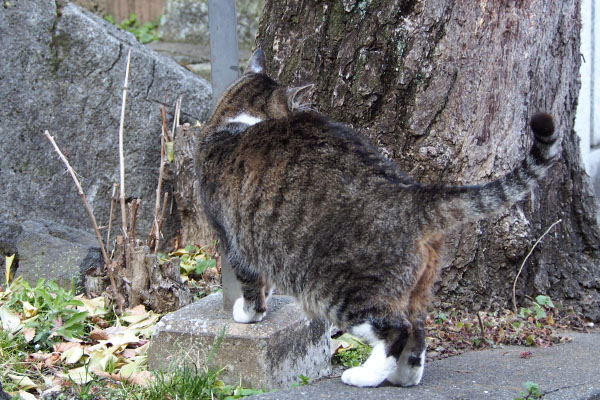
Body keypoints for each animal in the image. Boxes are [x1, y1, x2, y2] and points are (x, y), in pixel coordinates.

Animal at [195, 48, 560, 386]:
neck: (238, 123)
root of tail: (415, 196)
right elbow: (265, 280)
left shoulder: (231, 238)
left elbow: (250, 285)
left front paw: (248, 314)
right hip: (415, 292)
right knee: (417, 333)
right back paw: (403, 377)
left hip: (341, 290)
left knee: (397, 330)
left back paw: (365, 376)